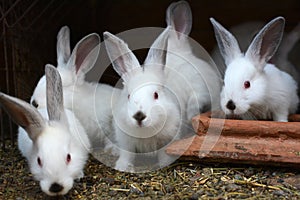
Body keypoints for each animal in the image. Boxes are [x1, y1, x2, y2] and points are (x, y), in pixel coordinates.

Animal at [104, 27, 182, 173]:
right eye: (128, 96)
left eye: (156, 95)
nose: (139, 116)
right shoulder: (126, 141)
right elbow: (127, 155)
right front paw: (123, 167)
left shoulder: (167, 138)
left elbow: (164, 154)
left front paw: (164, 164)